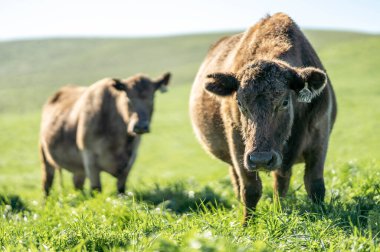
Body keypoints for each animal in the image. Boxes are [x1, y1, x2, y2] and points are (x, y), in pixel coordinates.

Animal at [39, 72, 171, 196]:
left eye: (153, 97)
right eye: (127, 97)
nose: (141, 126)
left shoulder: (131, 159)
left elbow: (121, 189)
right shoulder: (89, 156)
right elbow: (96, 189)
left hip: (78, 169)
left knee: (77, 184)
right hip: (45, 157)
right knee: (47, 184)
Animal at [189, 13, 336, 222]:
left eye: (284, 102)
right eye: (239, 103)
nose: (261, 159)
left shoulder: (319, 140)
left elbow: (314, 185)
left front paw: (322, 216)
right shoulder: (239, 149)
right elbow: (250, 190)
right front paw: (246, 224)